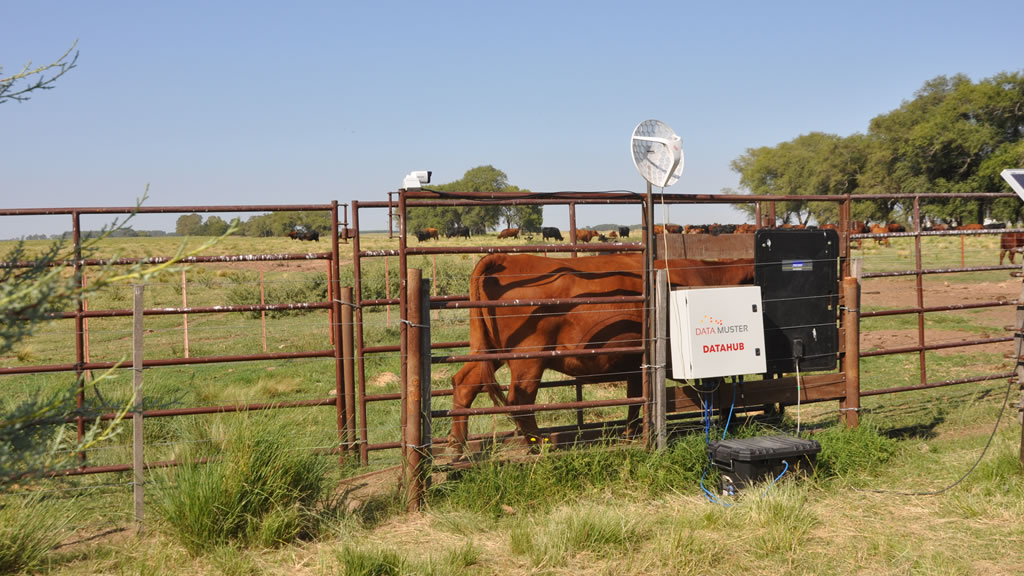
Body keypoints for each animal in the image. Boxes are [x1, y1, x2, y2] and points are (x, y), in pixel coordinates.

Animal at [452, 253, 757, 450]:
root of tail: (508, 258)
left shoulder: (636, 362)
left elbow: (636, 400)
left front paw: (630, 435)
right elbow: (715, 391)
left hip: (489, 351)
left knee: (464, 383)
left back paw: (458, 445)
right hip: (529, 358)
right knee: (520, 400)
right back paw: (542, 445)